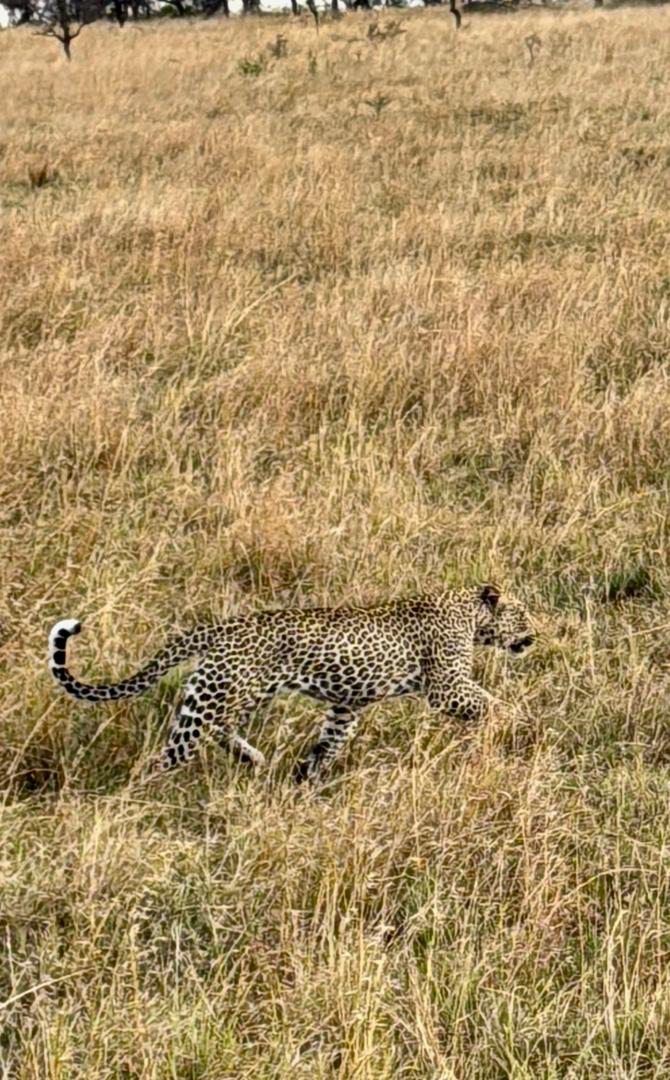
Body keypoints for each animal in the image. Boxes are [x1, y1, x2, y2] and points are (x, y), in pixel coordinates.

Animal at [48, 583, 533, 783]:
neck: (469, 614)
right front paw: (517, 724)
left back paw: (253, 758)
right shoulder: (447, 685)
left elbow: (330, 742)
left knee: (219, 729)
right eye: (523, 613)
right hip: (215, 697)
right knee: (166, 755)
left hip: (229, 693)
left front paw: (306, 777)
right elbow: (493, 704)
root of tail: (218, 627)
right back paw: (140, 791)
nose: (536, 634)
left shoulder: (346, 706)